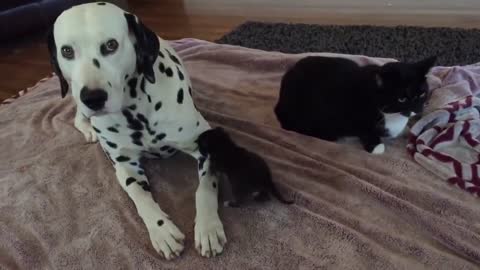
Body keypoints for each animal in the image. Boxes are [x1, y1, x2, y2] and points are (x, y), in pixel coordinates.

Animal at [48, 1, 227, 260]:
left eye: (111, 45)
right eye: (67, 51)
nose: (93, 98)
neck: (136, 113)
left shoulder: (205, 145)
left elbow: (205, 187)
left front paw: (208, 227)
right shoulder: (125, 166)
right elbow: (139, 196)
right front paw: (162, 231)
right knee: (77, 116)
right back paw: (89, 130)